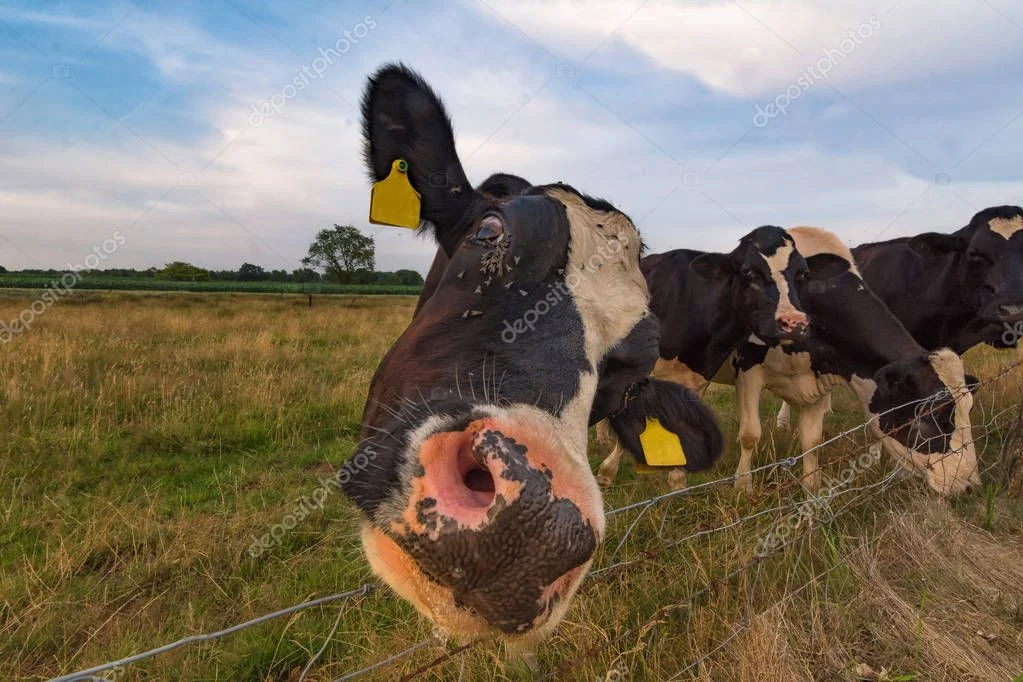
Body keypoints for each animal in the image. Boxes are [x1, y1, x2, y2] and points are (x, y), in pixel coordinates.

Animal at [595, 226, 811, 489]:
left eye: (802, 273)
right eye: (748, 271)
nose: (795, 323)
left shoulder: (699, 377)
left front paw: (677, 480)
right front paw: (607, 472)